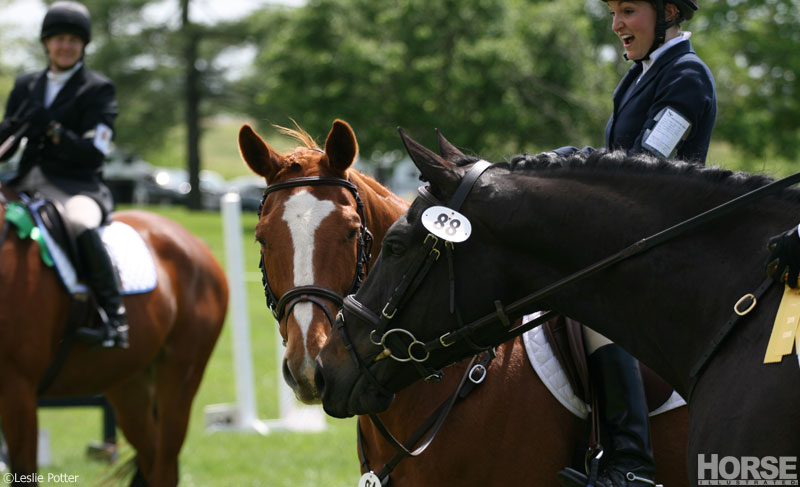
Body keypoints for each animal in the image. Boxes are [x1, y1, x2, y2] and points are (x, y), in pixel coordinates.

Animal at [0, 189, 228, 486]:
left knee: (164, 466)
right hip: (129, 384)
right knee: (151, 458)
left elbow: (24, 470)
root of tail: (194, 242)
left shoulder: (17, 387)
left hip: (181, 377)